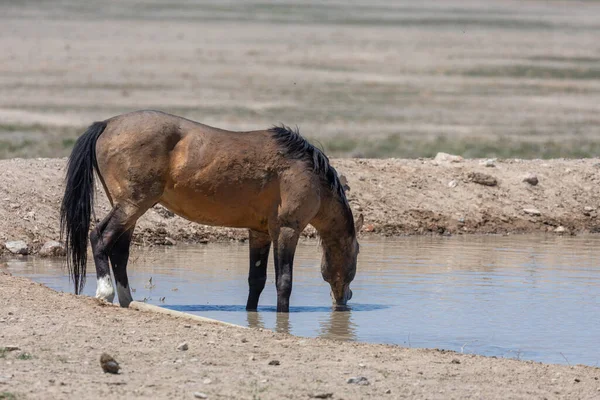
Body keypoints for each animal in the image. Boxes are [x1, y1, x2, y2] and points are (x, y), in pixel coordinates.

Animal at [61, 108, 364, 312]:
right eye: (357, 251)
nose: (345, 300)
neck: (305, 169)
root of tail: (106, 124)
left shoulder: (260, 232)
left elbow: (256, 280)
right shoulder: (288, 230)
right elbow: (284, 282)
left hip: (130, 209)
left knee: (119, 252)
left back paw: (128, 300)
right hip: (132, 204)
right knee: (100, 237)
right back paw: (105, 292)